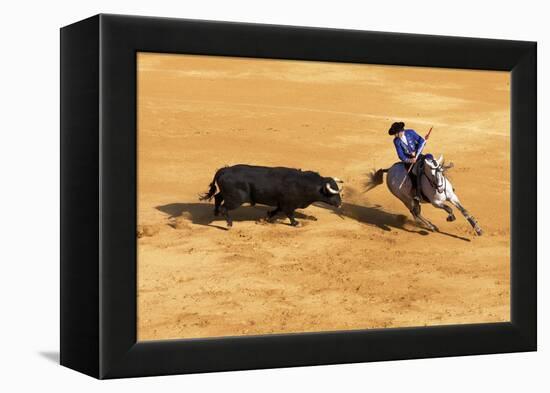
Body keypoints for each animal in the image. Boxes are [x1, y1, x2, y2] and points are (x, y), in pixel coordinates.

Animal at [198, 164, 344, 227]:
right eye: (331, 194)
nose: (339, 204)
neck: (306, 184)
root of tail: (224, 170)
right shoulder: (288, 204)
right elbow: (289, 214)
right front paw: (296, 223)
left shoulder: (282, 203)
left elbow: (277, 211)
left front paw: (267, 217)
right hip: (235, 199)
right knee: (224, 207)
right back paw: (229, 224)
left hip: (227, 195)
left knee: (217, 197)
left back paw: (216, 213)